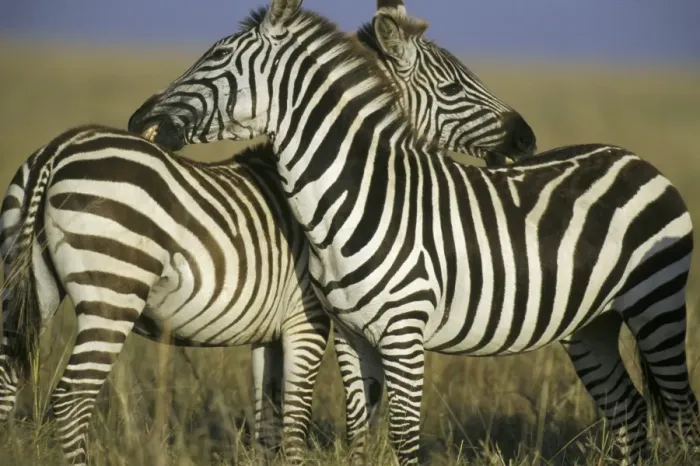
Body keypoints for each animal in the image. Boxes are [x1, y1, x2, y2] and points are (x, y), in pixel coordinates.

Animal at [0, 3, 537, 465]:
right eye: (453, 87)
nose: (526, 138)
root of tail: (56, 150)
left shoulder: (267, 333)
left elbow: (267, 425)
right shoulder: (309, 319)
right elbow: (296, 425)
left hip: (31, 289)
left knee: (7, 383)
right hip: (111, 295)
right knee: (71, 401)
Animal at [127, 1, 700, 464]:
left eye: (215, 60)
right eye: (451, 87)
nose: (136, 120)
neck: (354, 199)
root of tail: (631, 156)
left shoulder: (403, 335)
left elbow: (402, 437)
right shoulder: (351, 336)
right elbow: (359, 434)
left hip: (656, 306)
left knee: (682, 409)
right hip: (592, 324)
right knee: (629, 412)